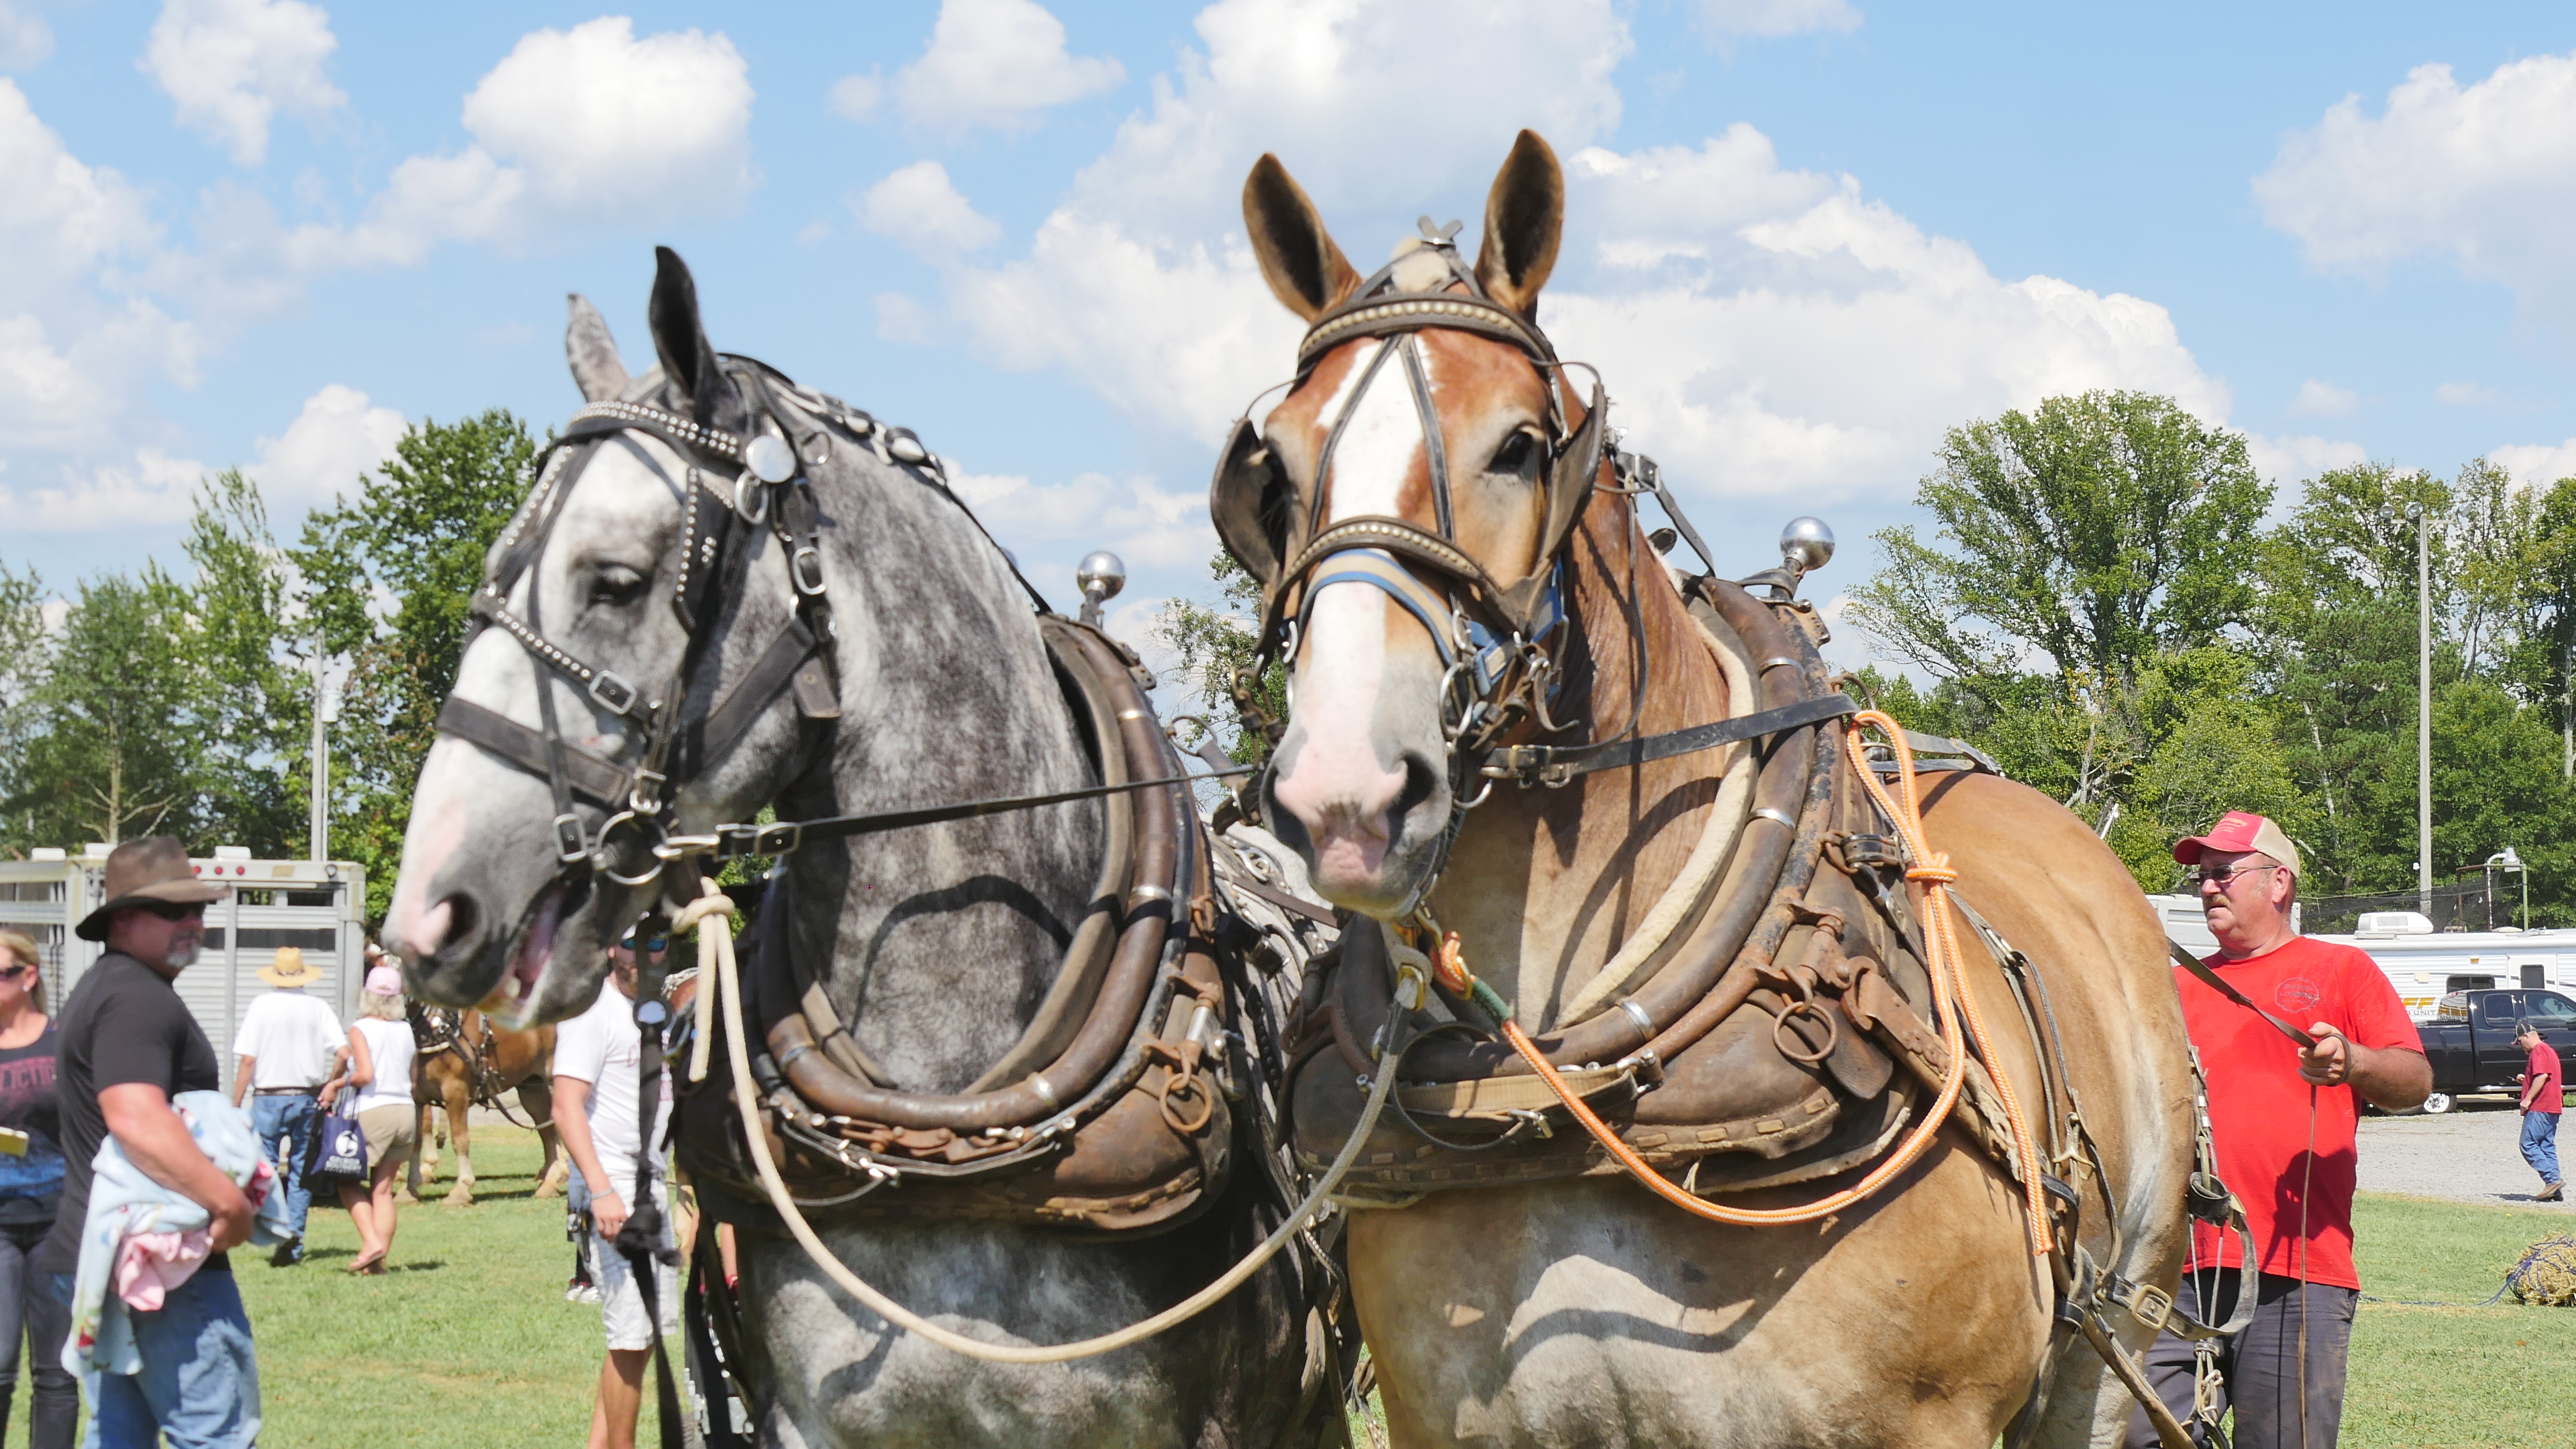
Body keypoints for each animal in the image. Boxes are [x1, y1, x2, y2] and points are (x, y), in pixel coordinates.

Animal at [1221, 129, 2195, 1433]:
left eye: (1519, 445)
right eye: (1272, 469)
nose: (1348, 793)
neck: (1559, 1094)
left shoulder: (1925, 1420)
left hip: (2112, 1328)